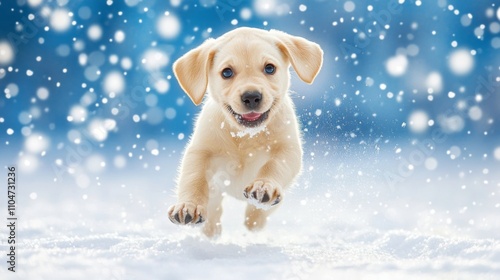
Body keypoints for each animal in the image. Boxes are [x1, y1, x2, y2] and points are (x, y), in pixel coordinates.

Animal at [169, 27, 324, 236]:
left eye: (269, 68)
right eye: (227, 72)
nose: (251, 97)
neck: (245, 136)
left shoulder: (288, 149)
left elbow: (274, 165)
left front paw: (264, 186)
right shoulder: (201, 151)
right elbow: (194, 177)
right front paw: (188, 205)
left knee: (260, 212)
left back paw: (255, 219)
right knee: (214, 204)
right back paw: (211, 229)